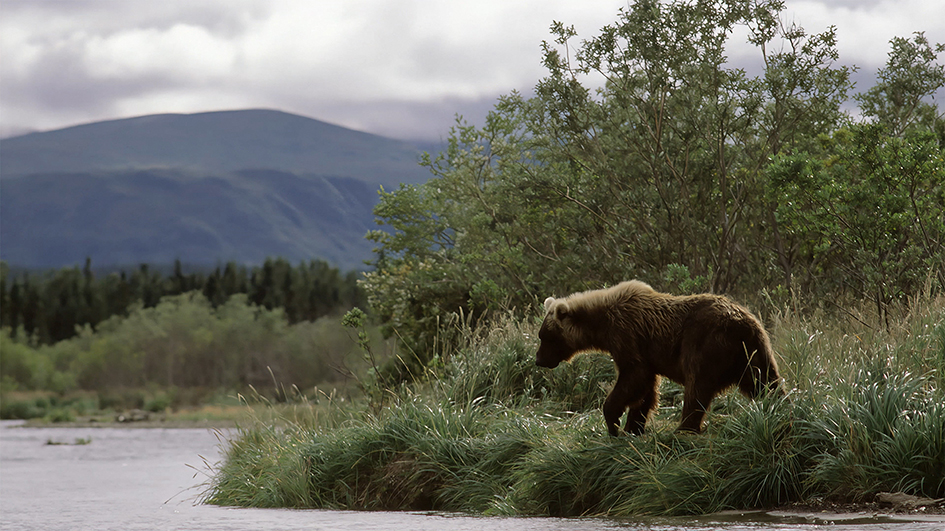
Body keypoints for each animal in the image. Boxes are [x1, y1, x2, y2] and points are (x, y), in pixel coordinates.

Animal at [536, 282, 780, 436]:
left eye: (546, 337)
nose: (538, 360)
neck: (600, 325)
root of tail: (742, 322)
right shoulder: (642, 351)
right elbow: (646, 390)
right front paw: (633, 427)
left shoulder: (625, 334)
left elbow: (634, 376)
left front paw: (614, 423)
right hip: (753, 349)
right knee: (764, 381)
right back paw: (777, 404)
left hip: (706, 343)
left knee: (697, 385)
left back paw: (683, 429)